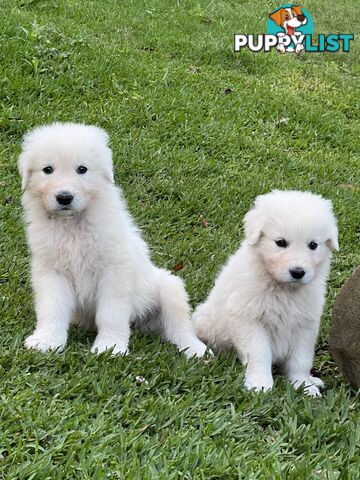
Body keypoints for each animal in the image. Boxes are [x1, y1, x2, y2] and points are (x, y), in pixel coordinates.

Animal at [18, 122, 207, 358]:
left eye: (82, 169)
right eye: (47, 170)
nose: (64, 198)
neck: (73, 224)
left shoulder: (114, 271)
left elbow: (111, 313)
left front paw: (110, 347)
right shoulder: (51, 271)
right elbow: (52, 308)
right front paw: (47, 341)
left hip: (169, 288)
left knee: (179, 326)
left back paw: (196, 349)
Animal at [193, 189, 338, 396]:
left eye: (313, 245)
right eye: (280, 243)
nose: (298, 272)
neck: (283, 288)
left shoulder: (306, 324)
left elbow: (301, 360)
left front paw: (304, 385)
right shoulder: (249, 319)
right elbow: (259, 354)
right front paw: (260, 384)